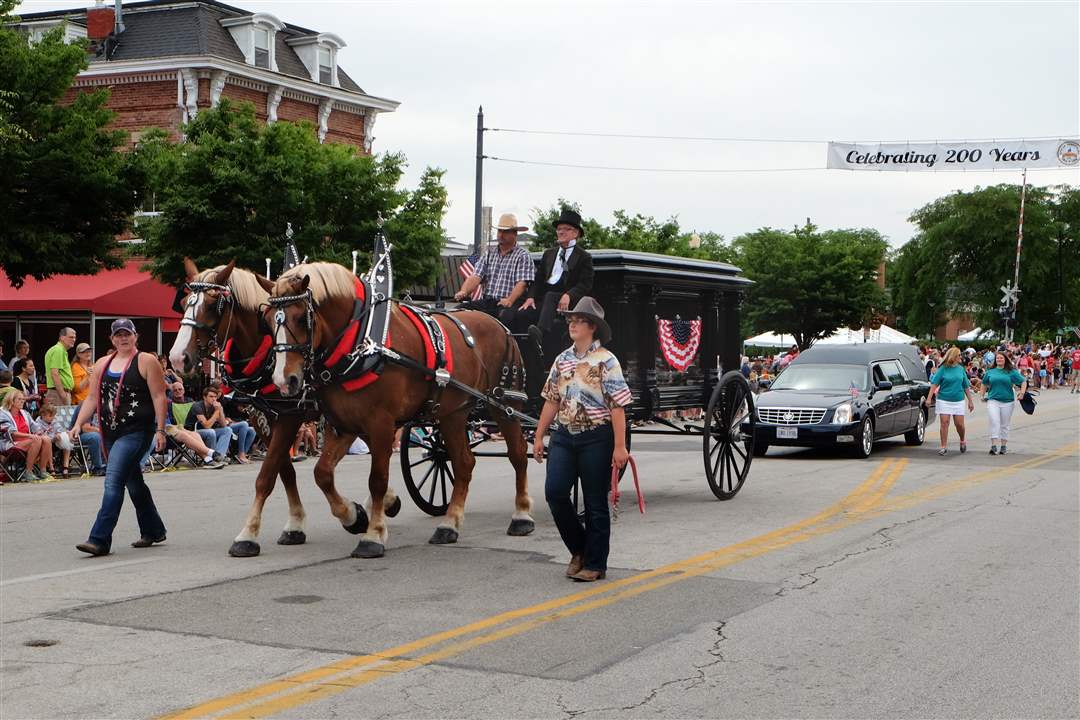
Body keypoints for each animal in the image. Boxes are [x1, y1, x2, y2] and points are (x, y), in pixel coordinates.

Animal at [168, 260, 401, 557]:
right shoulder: (264, 417)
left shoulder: (291, 415)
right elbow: (283, 471)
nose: (177, 358)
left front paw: (249, 534)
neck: (266, 351)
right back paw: (383, 502)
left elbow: (267, 474)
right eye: (183, 302)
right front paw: (294, 525)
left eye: (211, 305)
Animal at [262, 262, 531, 561]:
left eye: (301, 319)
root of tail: (500, 326)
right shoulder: (344, 425)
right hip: (453, 414)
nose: (284, 380)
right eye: (268, 320)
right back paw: (449, 524)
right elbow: (322, 473)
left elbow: (377, 479)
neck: (361, 343)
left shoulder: (381, 423)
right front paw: (353, 516)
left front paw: (373, 535)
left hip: (505, 407)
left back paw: (521, 516)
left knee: (518, 454)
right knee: (464, 463)